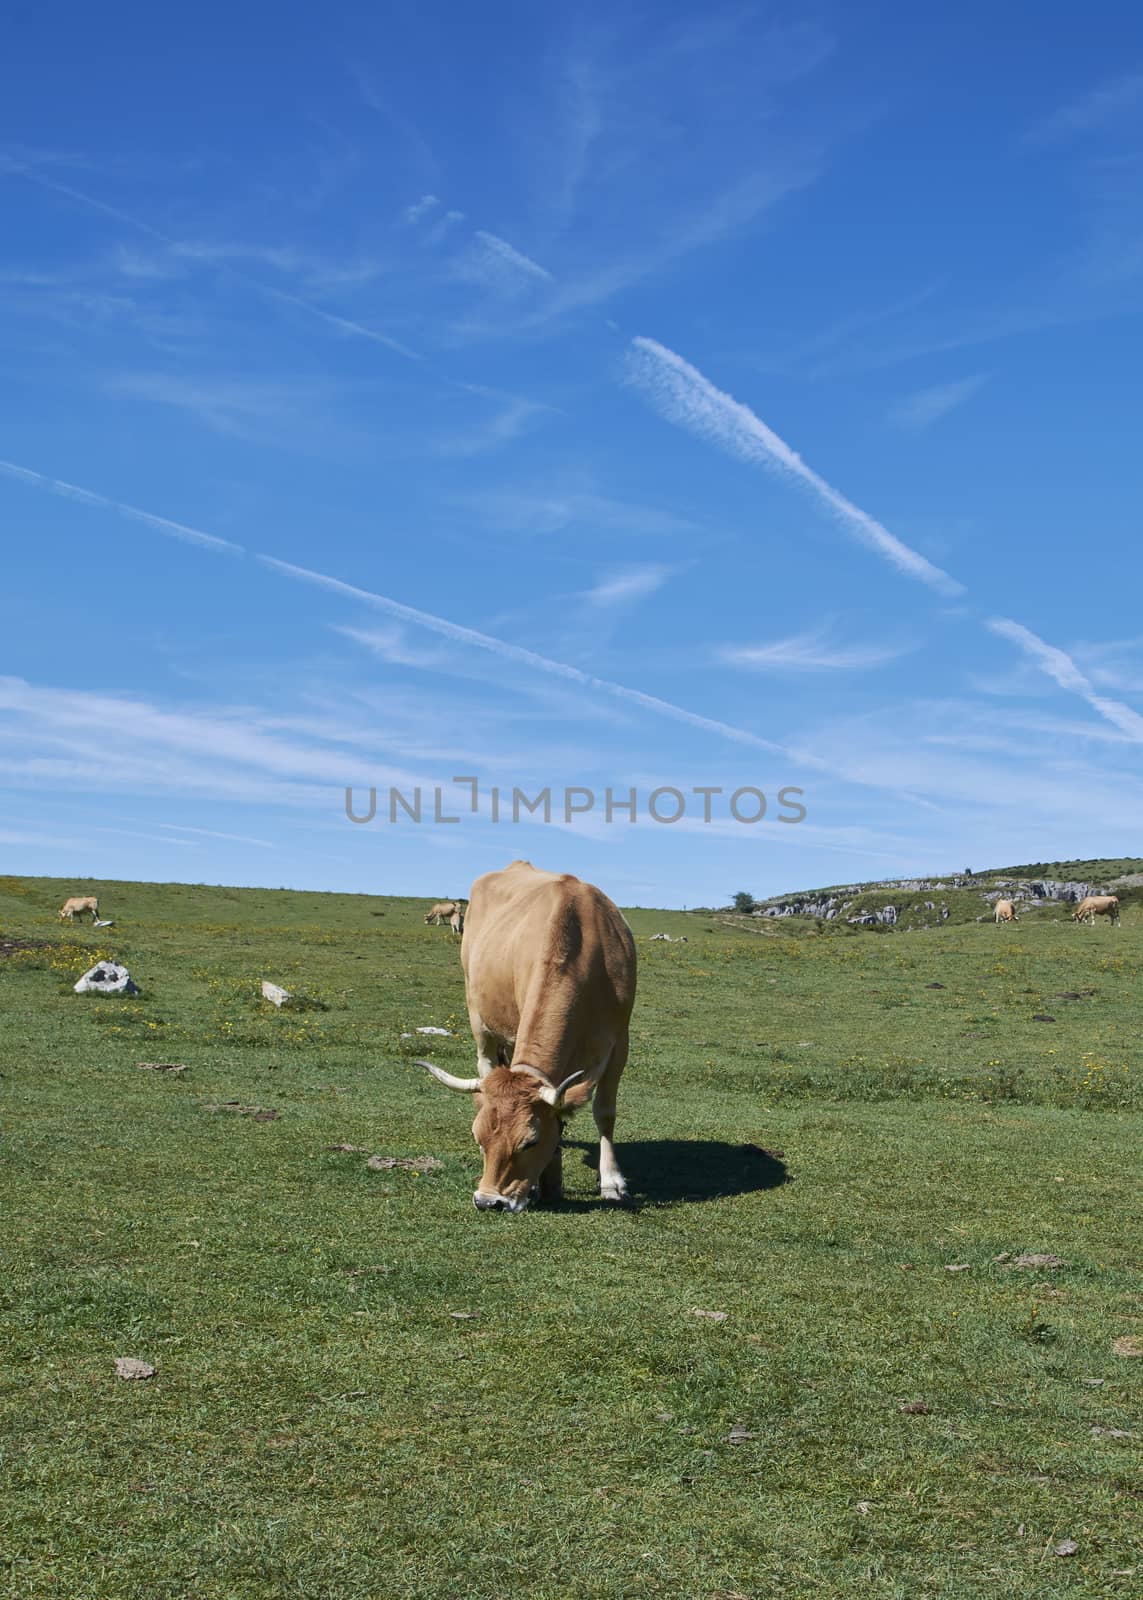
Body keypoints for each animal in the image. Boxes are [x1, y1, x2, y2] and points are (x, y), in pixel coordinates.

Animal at [419, 864, 637, 1209]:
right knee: (486, 1061)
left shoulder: (619, 1042)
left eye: (530, 1142)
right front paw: (544, 1181)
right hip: (479, 1017)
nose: (487, 1201)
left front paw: (612, 1182)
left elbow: (604, 1112)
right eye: (478, 1139)